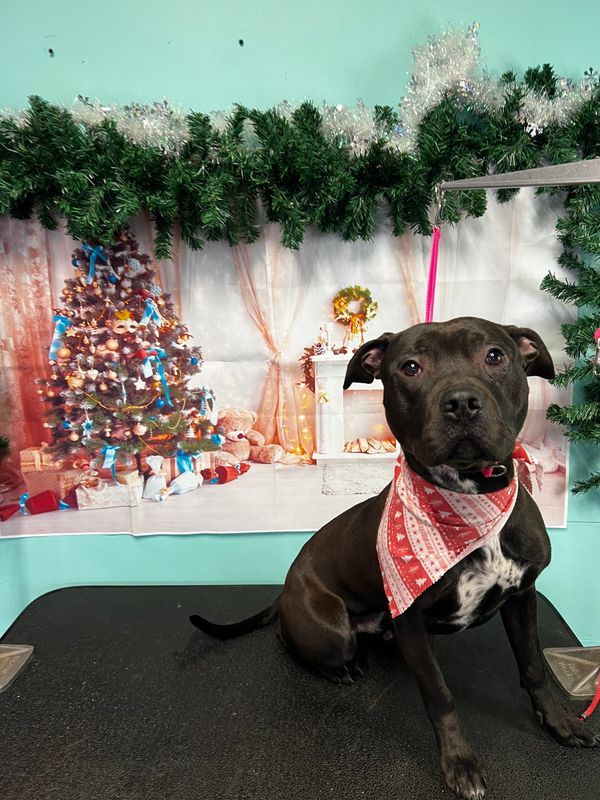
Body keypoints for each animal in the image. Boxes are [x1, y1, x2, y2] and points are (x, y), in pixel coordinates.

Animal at [193, 318, 600, 800]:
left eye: (495, 356)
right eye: (410, 367)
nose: (461, 403)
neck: (470, 500)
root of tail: (286, 590)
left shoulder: (522, 596)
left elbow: (535, 667)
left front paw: (559, 723)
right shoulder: (412, 622)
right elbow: (440, 695)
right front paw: (459, 763)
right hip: (332, 630)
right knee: (294, 642)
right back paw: (338, 668)